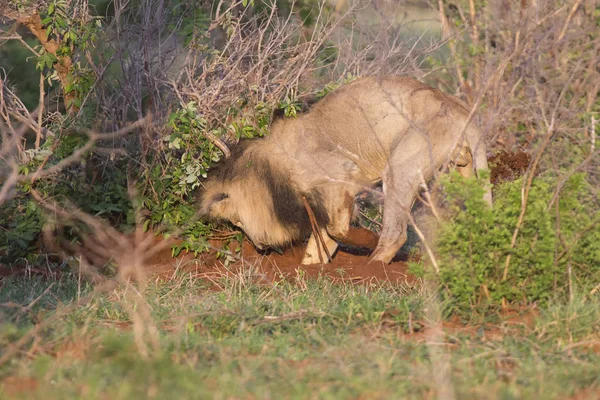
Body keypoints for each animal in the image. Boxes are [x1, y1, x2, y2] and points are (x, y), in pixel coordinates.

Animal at [199, 76, 490, 264]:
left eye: (237, 221)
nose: (258, 247)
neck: (278, 162)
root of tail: (463, 113)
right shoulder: (327, 197)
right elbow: (319, 245)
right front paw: (312, 271)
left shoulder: (342, 176)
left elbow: (337, 230)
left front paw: (365, 240)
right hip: (464, 171)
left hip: (400, 168)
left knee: (396, 235)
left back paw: (373, 268)